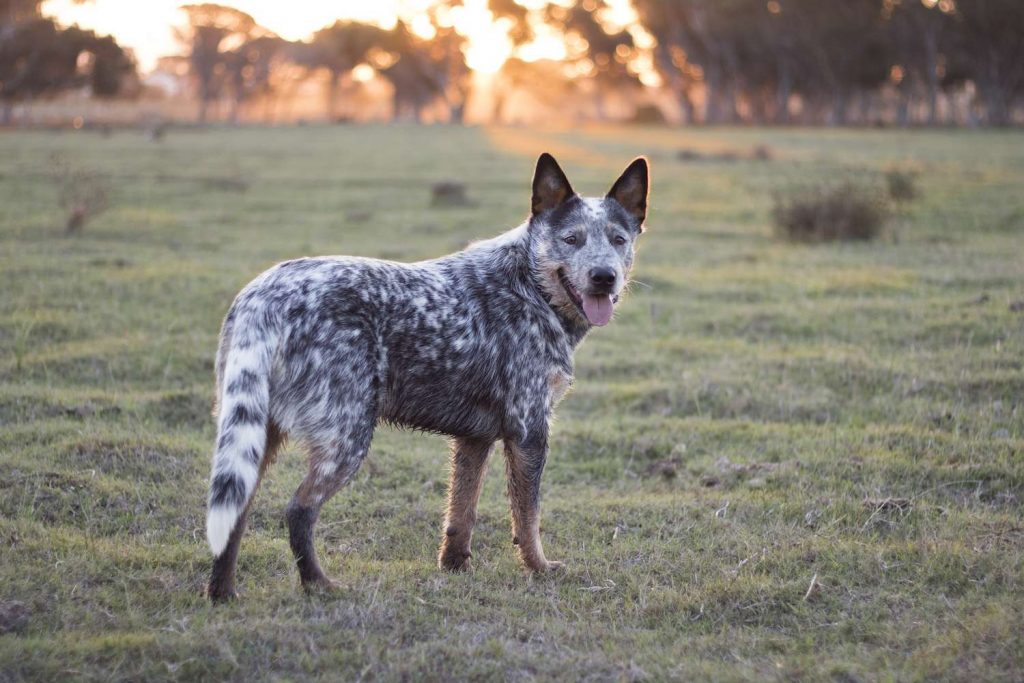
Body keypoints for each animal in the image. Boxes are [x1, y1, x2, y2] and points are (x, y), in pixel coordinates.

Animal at [205, 152, 647, 602]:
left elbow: (461, 513)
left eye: (618, 240)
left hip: (252, 433)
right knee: (299, 510)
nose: (604, 276)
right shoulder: (529, 430)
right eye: (571, 239)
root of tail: (263, 298)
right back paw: (319, 586)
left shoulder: (475, 439)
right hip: (346, 436)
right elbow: (528, 516)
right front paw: (538, 568)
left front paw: (455, 567)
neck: (529, 285)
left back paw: (223, 593)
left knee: (232, 515)